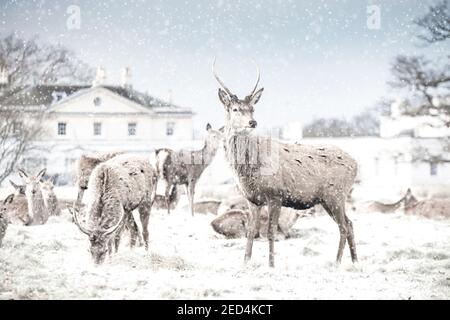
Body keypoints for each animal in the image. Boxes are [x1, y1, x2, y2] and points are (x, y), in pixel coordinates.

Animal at [213, 58, 356, 268]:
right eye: (235, 109)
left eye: (252, 109)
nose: (252, 122)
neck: (247, 171)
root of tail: (356, 164)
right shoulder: (252, 199)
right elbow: (250, 232)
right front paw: (245, 262)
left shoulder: (276, 195)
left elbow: (270, 232)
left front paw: (272, 266)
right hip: (329, 199)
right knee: (350, 223)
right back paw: (355, 261)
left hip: (336, 195)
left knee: (344, 226)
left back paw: (336, 262)